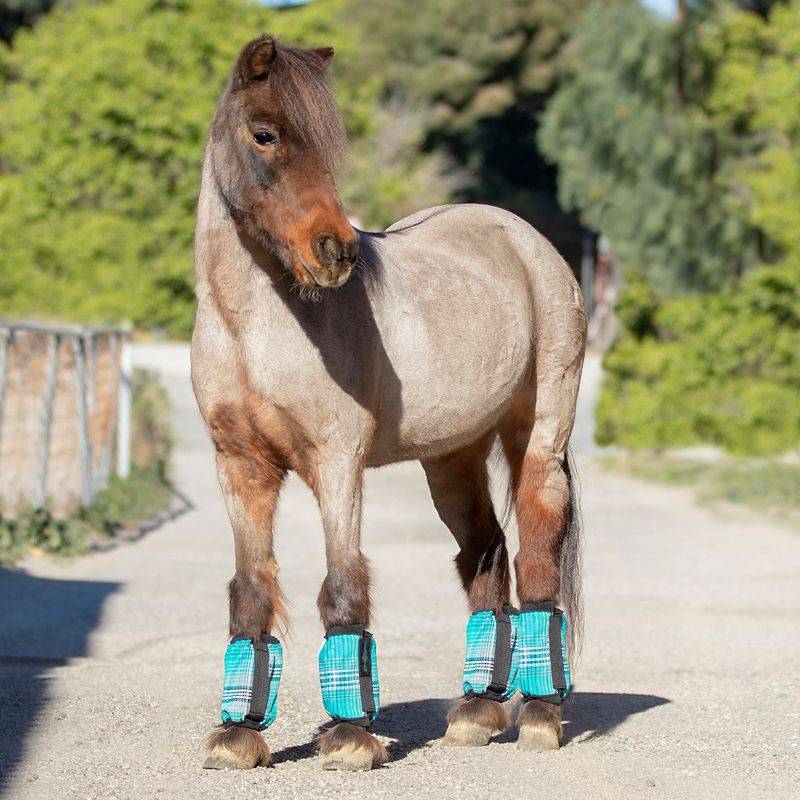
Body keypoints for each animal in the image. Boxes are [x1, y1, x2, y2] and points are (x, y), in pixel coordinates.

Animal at [192, 35, 587, 772]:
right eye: (265, 133)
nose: (336, 251)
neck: (253, 328)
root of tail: (530, 243)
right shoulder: (241, 467)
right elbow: (250, 590)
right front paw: (237, 737)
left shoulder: (336, 463)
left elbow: (343, 584)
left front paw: (350, 737)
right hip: (452, 460)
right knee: (486, 555)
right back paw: (476, 712)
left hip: (538, 439)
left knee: (535, 558)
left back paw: (542, 718)